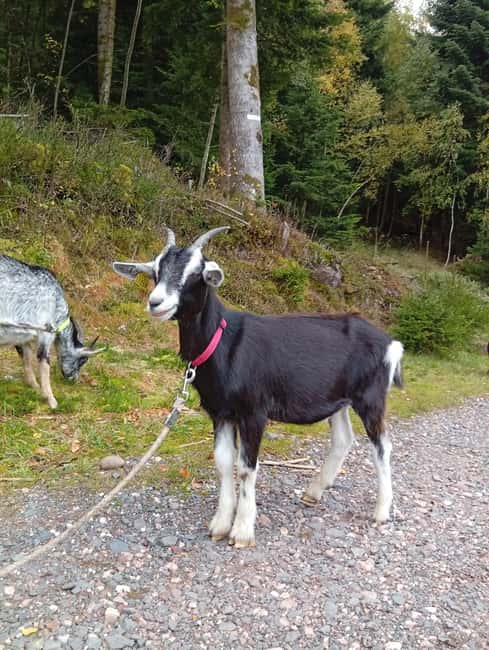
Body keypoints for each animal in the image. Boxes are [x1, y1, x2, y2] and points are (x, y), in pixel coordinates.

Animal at [0, 255, 105, 409]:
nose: (74, 378)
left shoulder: (23, 338)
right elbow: (44, 363)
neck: (57, 306)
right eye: (83, 360)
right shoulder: (46, 332)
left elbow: (26, 359)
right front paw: (51, 399)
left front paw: (34, 386)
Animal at [113, 228, 404, 548]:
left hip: (371, 397)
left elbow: (246, 467)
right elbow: (224, 463)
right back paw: (314, 492)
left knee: (382, 447)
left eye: (196, 273)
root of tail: (391, 343)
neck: (222, 341)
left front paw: (241, 531)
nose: (156, 302)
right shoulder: (220, 413)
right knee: (343, 439)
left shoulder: (254, 412)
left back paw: (381, 511)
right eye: (155, 270)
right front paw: (220, 525)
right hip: (338, 399)